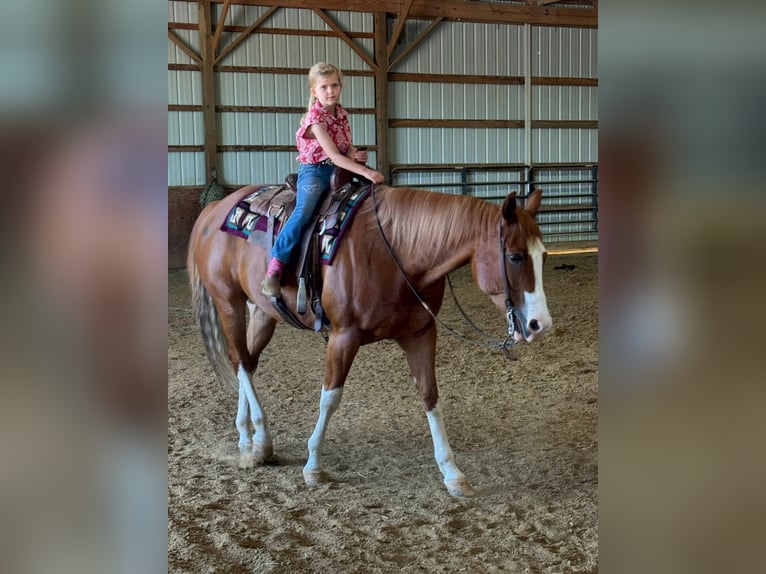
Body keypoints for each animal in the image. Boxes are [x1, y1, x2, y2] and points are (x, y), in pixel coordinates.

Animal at [187, 178, 552, 497]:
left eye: (543, 256)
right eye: (515, 256)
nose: (540, 324)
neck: (397, 252)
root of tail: (215, 209)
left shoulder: (421, 334)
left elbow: (430, 397)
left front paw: (453, 474)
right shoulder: (343, 336)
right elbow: (330, 398)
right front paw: (313, 466)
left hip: (262, 312)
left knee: (247, 361)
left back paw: (253, 442)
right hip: (229, 304)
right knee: (239, 361)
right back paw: (256, 439)